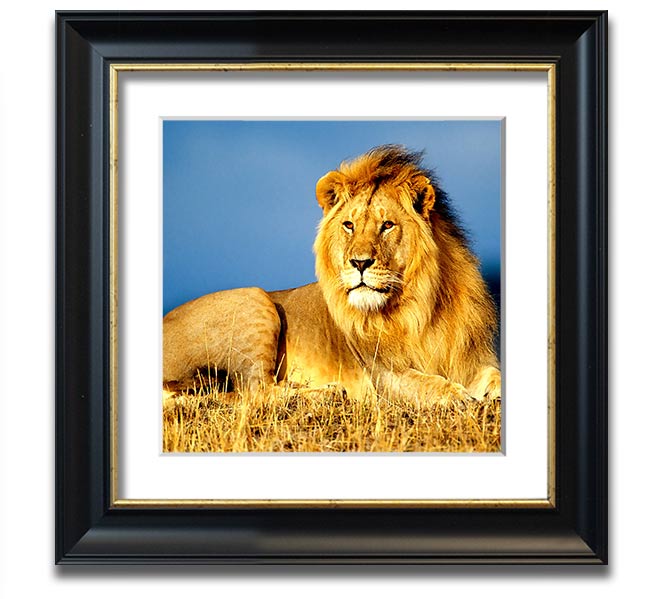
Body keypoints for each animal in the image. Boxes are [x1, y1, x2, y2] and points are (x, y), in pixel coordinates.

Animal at [163, 145, 501, 404]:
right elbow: (428, 384)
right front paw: (460, 397)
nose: (359, 263)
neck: (421, 306)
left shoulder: (475, 359)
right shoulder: (384, 374)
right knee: (255, 391)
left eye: (387, 225)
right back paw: (328, 392)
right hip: (253, 299)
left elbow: (495, 376)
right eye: (349, 225)